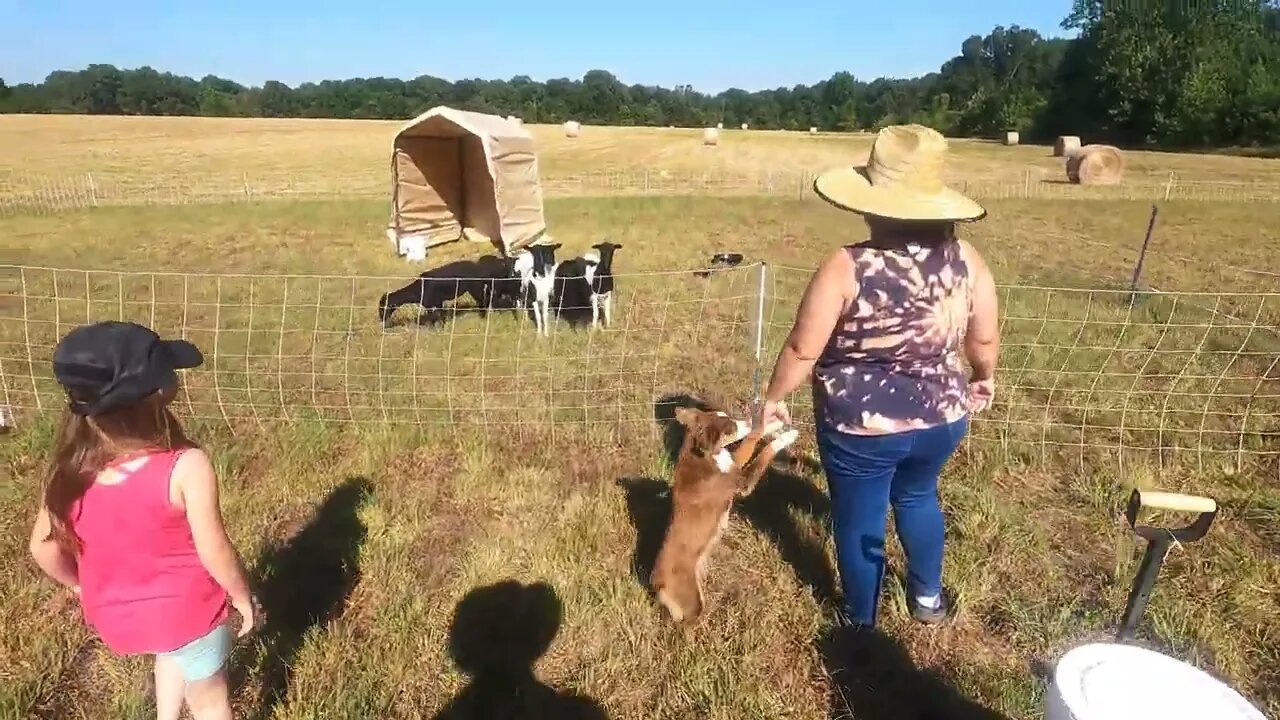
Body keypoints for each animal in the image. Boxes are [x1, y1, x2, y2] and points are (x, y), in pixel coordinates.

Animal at [655, 409, 793, 622]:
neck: (705, 455)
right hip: (692, 601)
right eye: (732, 427)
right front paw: (787, 435)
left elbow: (752, 440)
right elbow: (763, 452)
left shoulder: (734, 462)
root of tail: (658, 583)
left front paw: (771, 424)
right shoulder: (743, 482)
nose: (748, 421)